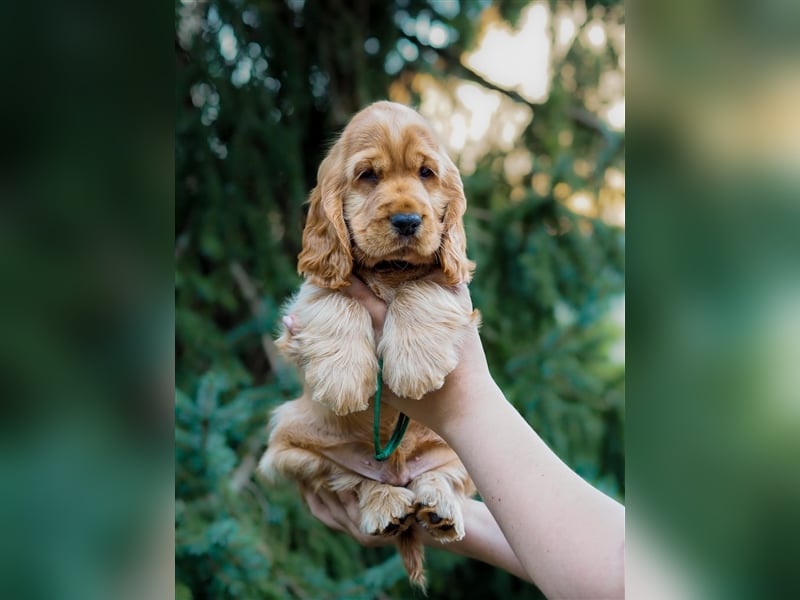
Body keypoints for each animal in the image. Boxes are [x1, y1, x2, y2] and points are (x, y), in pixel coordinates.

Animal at [260, 101, 478, 588]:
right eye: (368, 176)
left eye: (426, 173)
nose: (408, 221)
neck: (390, 269)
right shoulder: (306, 301)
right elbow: (335, 298)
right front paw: (342, 379)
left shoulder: (452, 288)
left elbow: (423, 287)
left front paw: (413, 365)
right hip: (289, 443)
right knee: (351, 479)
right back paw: (388, 505)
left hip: (456, 450)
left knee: (445, 478)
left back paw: (438, 508)